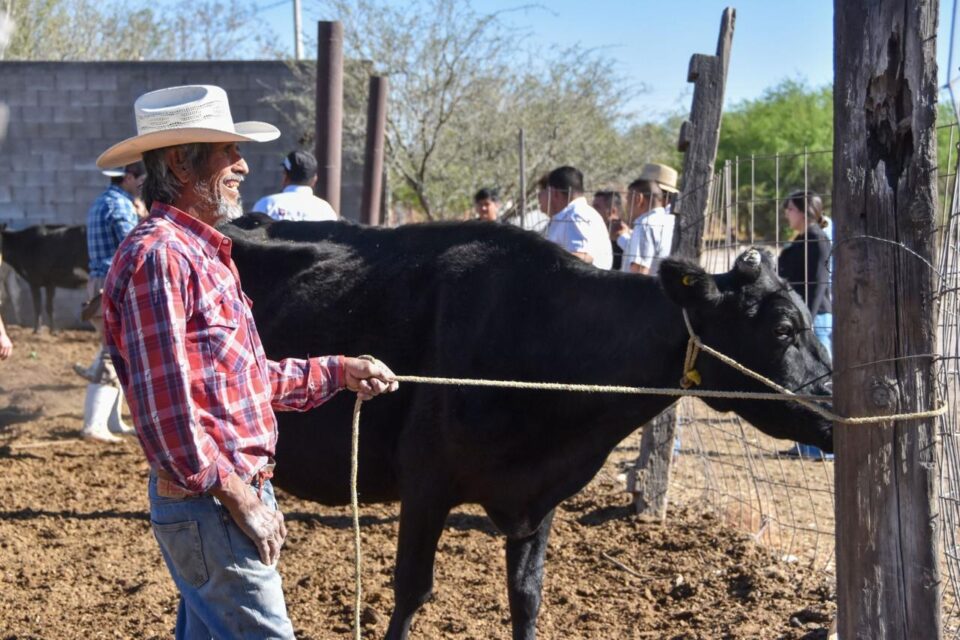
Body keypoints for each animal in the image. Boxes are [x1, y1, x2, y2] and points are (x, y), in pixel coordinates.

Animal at [221, 216, 828, 640]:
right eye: (782, 329)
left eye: (805, 317)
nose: (830, 405)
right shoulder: (425, 485)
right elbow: (412, 588)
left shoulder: (540, 496)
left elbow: (527, 595)